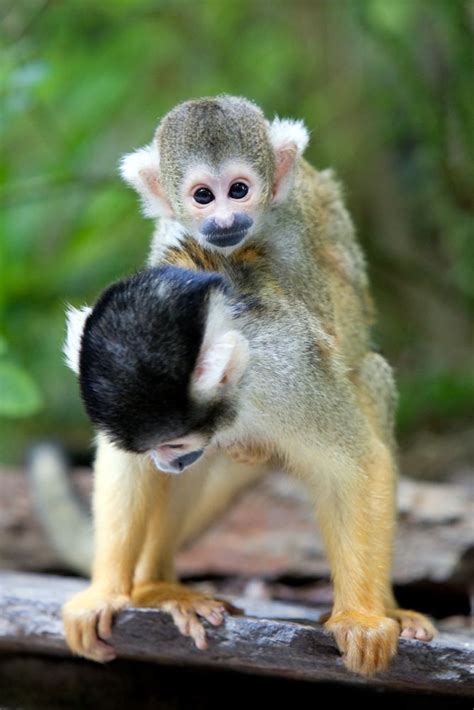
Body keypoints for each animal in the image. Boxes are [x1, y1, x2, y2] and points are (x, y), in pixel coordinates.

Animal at [60, 96, 436, 676]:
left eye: (239, 189)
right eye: (202, 195)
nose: (224, 218)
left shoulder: (291, 374)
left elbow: (356, 464)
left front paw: (361, 618)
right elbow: (126, 466)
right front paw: (106, 591)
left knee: (367, 380)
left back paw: (387, 606)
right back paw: (157, 588)